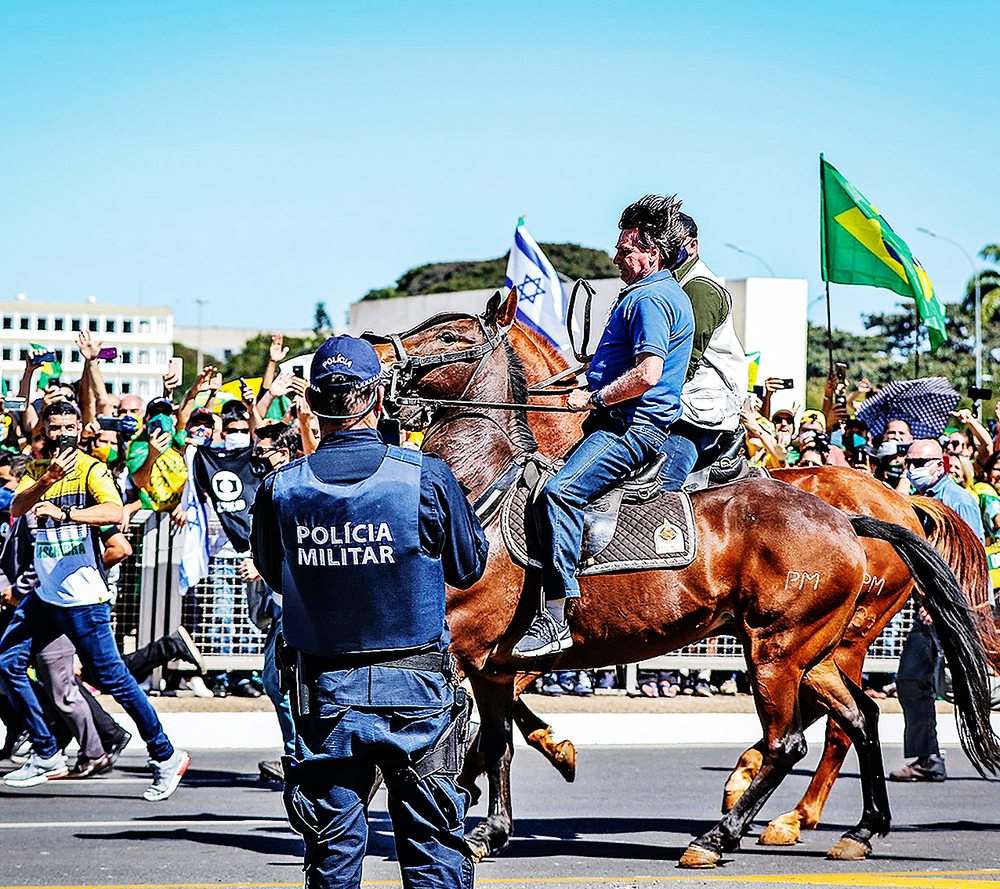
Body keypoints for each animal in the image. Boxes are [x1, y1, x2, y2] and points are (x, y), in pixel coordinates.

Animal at [370, 294, 1000, 868]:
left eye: (449, 336)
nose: (374, 355)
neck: (481, 486)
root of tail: (856, 516)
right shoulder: (491, 666)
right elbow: (497, 741)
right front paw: (490, 828)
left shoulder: (456, 652)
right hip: (814, 653)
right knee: (859, 719)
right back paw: (859, 829)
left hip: (778, 650)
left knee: (790, 740)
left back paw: (723, 834)